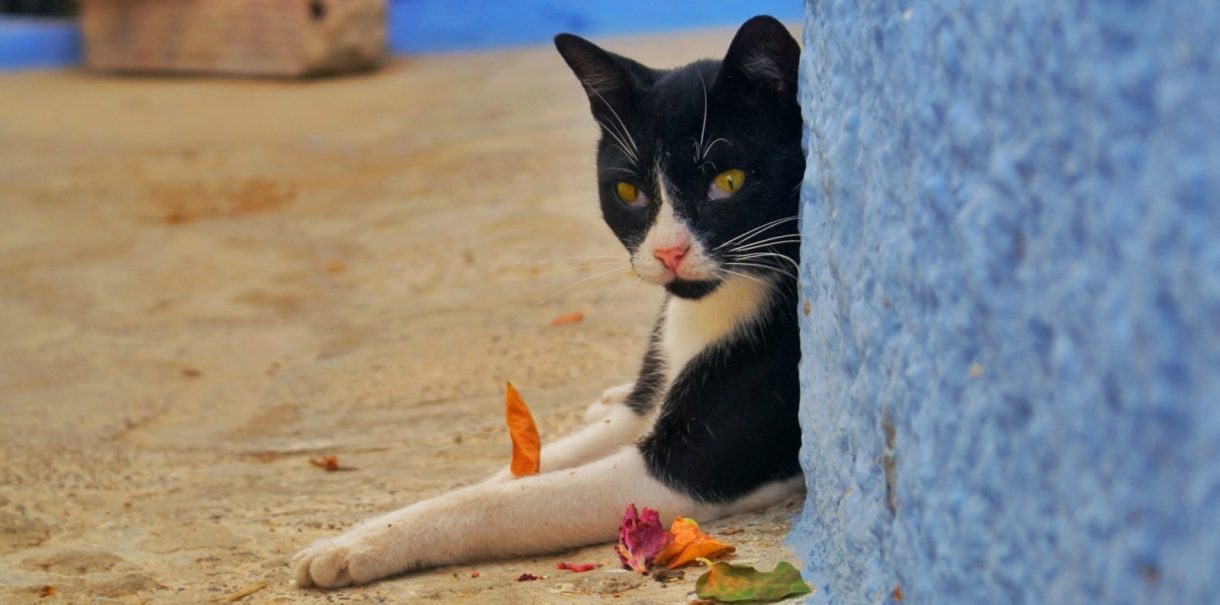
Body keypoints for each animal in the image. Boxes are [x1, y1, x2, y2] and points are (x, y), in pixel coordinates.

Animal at [290, 16, 805, 587]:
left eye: (728, 181)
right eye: (629, 192)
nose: (667, 252)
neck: (718, 302)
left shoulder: (689, 466)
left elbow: (505, 502)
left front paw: (356, 546)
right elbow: (517, 473)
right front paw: (367, 531)